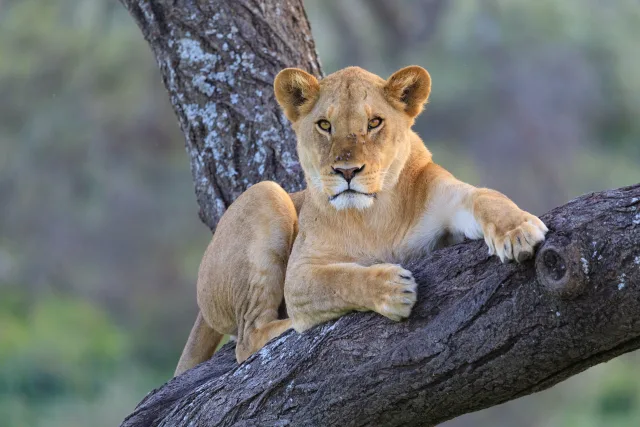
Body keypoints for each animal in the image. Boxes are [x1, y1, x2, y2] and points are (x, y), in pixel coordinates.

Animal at [174, 65, 548, 376]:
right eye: (325, 125)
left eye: (374, 123)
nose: (347, 171)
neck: (374, 214)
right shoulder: (299, 276)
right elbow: (341, 278)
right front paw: (391, 289)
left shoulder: (450, 199)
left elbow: (486, 197)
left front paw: (517, 232)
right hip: (265, 193)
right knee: (247, 338)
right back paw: (291, 326)